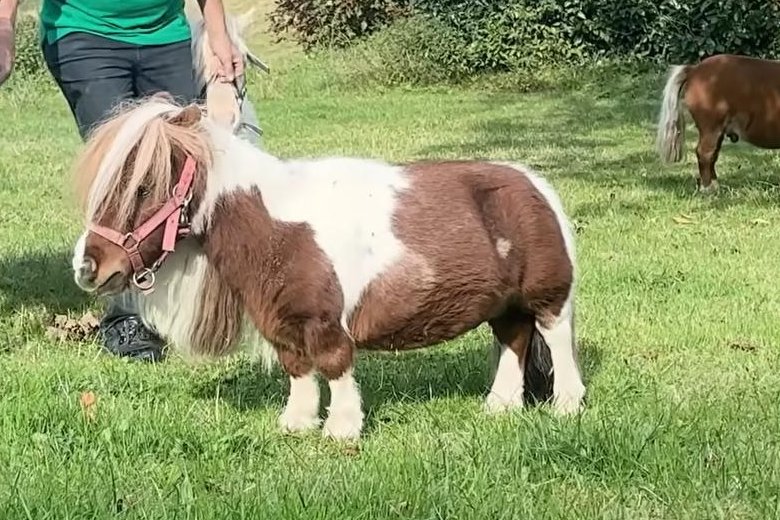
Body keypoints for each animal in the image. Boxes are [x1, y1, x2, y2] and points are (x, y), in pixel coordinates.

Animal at [68, 98, 586, 440]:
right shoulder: (280, 319)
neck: (275, 225)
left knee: (553, 336)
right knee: (514, 341)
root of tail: (534, 184)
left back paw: (566, 405)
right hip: (504, 305)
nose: (87, 268)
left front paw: (341, 428)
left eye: (142, 187)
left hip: (548, 295)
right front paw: (296, 423)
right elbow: (298, 369)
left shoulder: (325, 321)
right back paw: (499, 406)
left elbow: (334, 364)